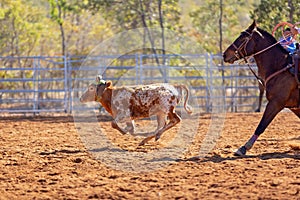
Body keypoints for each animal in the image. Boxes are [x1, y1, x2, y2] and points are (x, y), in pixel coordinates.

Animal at [223, 20, 298, 155]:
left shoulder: (275, 103)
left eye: (243, 38)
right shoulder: (294, 106)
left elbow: (261, 126)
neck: (281, 66)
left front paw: (243, 148)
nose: (224, 54)